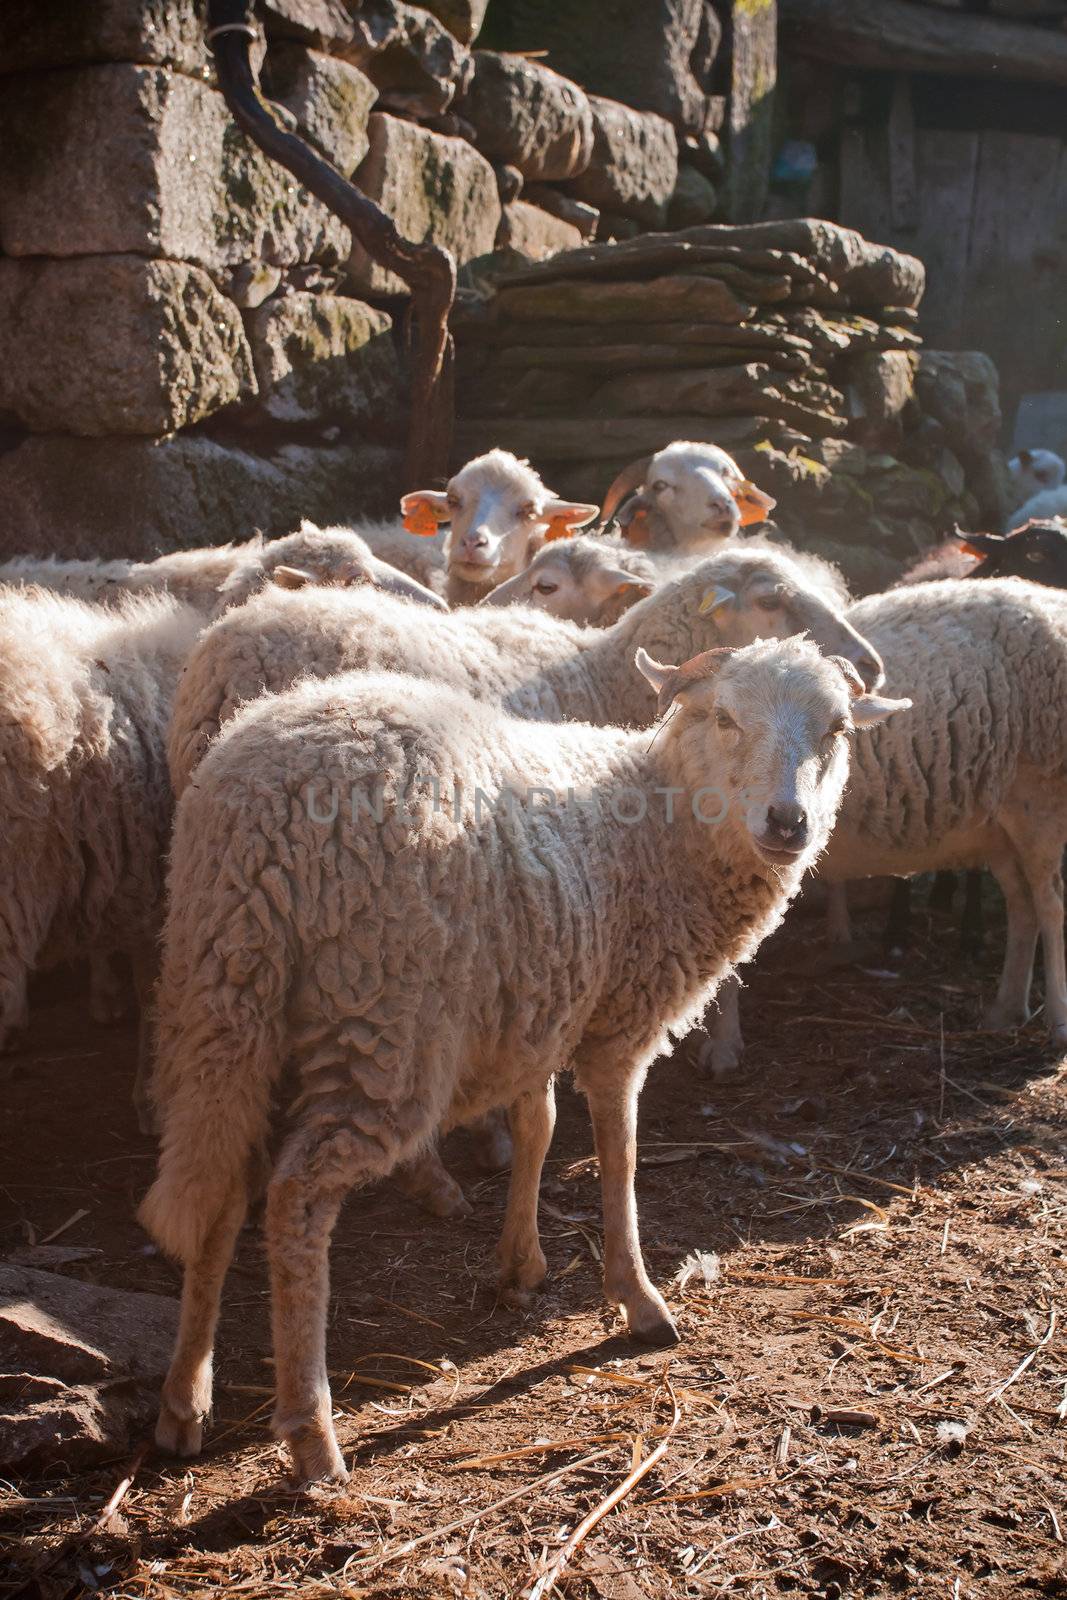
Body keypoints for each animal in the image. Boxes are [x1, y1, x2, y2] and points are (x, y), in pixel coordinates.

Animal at [141, 630, 908, 1478]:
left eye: (836, 730)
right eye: (725, 718)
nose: (787, 822)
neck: (663, 824)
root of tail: (263, 806)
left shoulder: (538, 1008)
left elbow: (537, 1128)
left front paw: (519, 1266)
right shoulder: (617, 1023)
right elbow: (618, 1149)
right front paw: (636, 1296)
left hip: (221, 997)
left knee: (218, 1185)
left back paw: (185, 1399)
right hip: (383, 1020)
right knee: (296, 1196)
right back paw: (311, 1430)